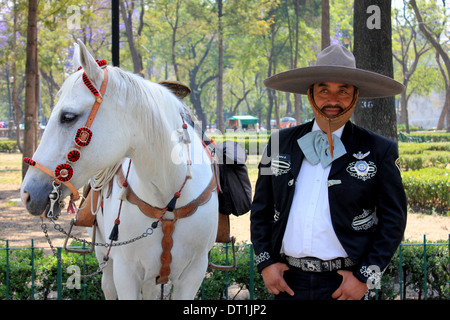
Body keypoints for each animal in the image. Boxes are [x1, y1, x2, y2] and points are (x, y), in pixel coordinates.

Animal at [19, 40, 218, 300]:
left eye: (68, 116)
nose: (27, 193)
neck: (168, 194)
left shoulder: (193, 274)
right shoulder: (126, 272)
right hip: (106, 257)